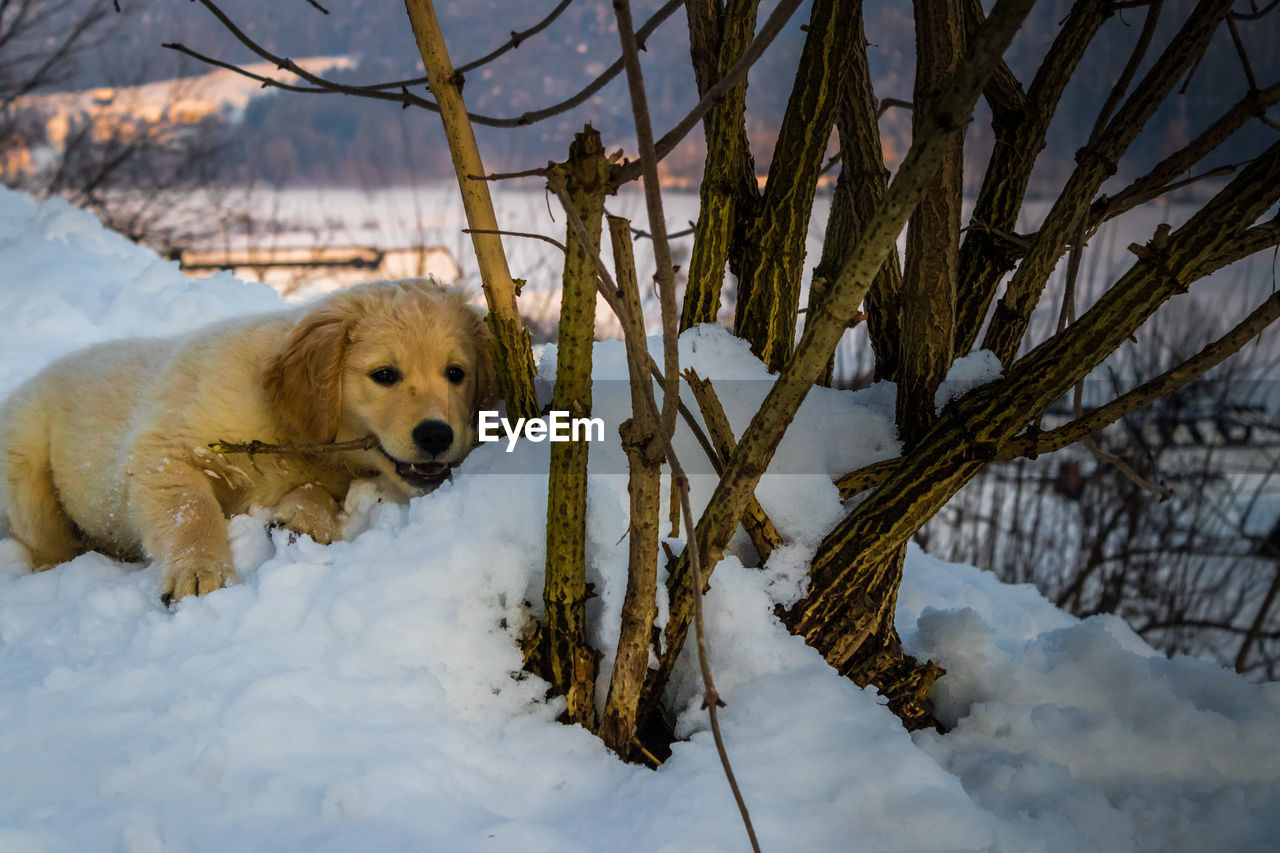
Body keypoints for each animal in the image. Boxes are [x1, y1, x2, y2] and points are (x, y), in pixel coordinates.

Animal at [0, 277, 494, 596]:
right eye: (385, 375)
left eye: (456, 374)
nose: (437, 434)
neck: (294, 433)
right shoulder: (163, 452)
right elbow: (191, 511)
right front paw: (201, 574)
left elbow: (314, 490)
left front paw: (303, 519)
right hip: (26, 468)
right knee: (45, 543)